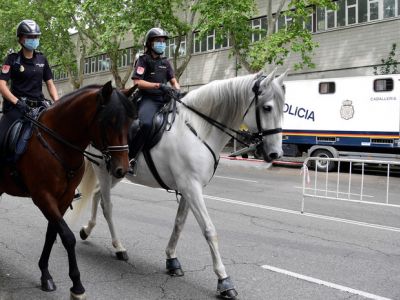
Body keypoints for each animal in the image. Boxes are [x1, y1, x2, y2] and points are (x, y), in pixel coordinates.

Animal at [0, 81, 136, 298]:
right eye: (109, 122)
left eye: (131, 122)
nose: (122, 169)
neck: (58, 143)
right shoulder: (43, 197)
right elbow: (68, 237)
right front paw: (77, 286)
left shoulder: (63, 199)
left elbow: (52, 234)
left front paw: (45, 275)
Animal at [71, 69, 284, 298]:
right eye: (267, 107)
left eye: (283, 107)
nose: (275, 154)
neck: (199, 130)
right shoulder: (192, 188)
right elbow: (209, 230)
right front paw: (224, 280)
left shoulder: (189, 189)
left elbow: (179, 223)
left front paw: (172, 260)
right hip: (103, 168)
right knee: (107, 206)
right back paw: (119, 247)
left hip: (116, 173)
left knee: (97, 195)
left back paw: (87, 230)